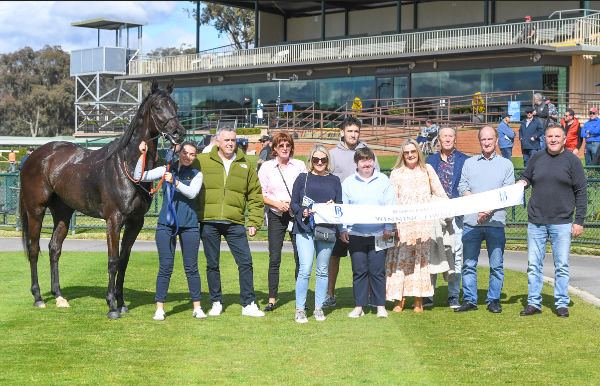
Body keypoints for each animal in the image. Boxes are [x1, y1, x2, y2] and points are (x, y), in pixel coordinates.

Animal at [19, 80, 185, 318]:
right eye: (158, 107)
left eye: (175, 105)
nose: (179, 133)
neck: (128, 165)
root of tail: (34, 157)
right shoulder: (113, 220)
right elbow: (113, 260)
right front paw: (112, 306)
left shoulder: (136, 222)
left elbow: (124, 261)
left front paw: (122, 302)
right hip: (36, 210)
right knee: (34, 249)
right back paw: (38, 297)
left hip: (63, 212)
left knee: (54, 248)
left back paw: (59, 296)